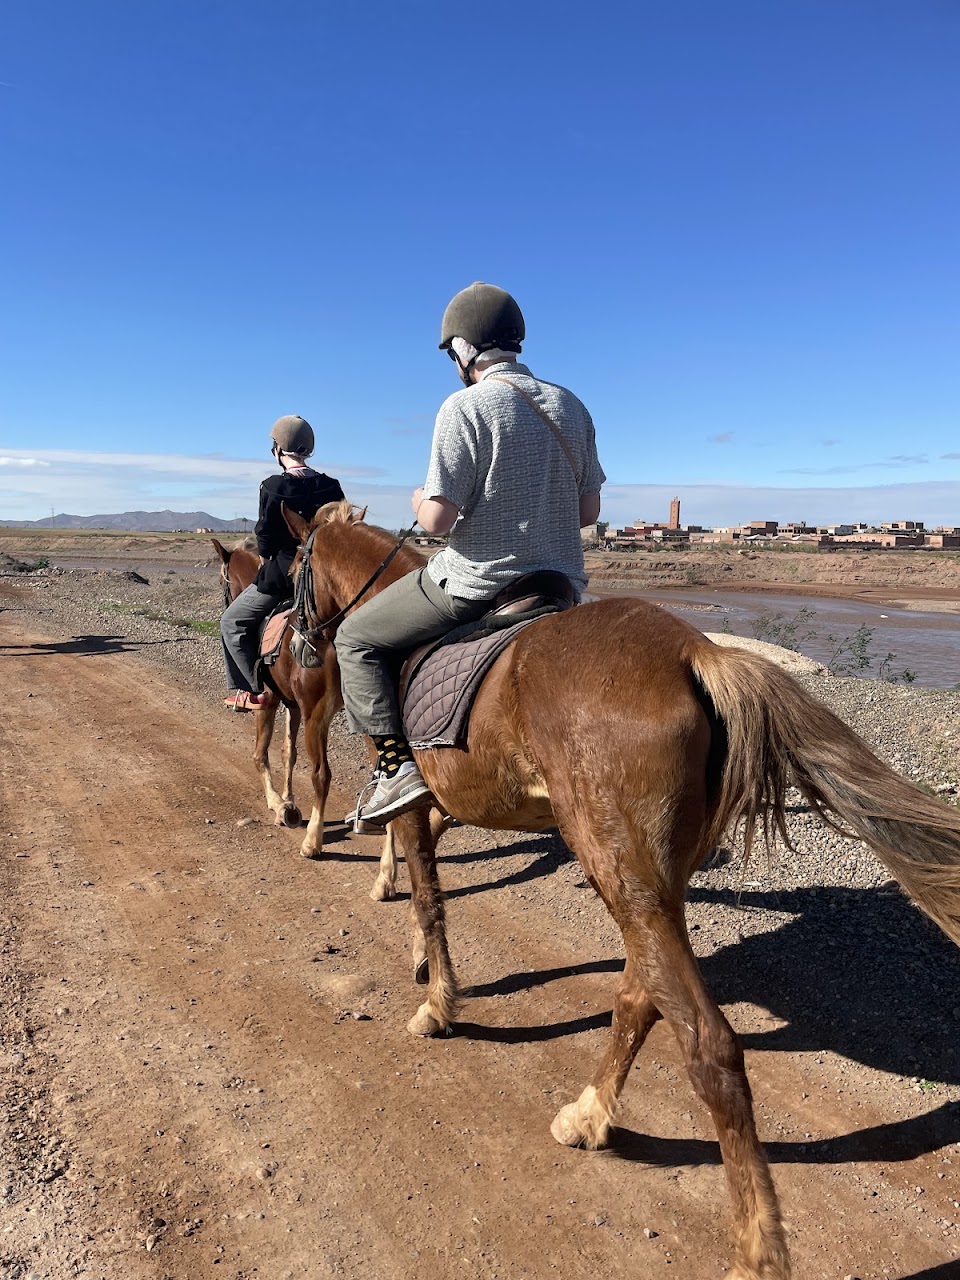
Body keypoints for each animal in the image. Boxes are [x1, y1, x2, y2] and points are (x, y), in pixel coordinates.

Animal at [283, 499, 960, 1280]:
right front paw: (423, 966)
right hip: (647, 879)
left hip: (618, 866)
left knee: (708, 1044)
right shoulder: (444, 807)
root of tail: (696, 655)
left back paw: (755, 1249)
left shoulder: (416, 801)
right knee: (641, 995)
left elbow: (428, 896)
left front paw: (438, 1003)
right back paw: (588, 1116)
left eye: (296, 564)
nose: (300, 644)